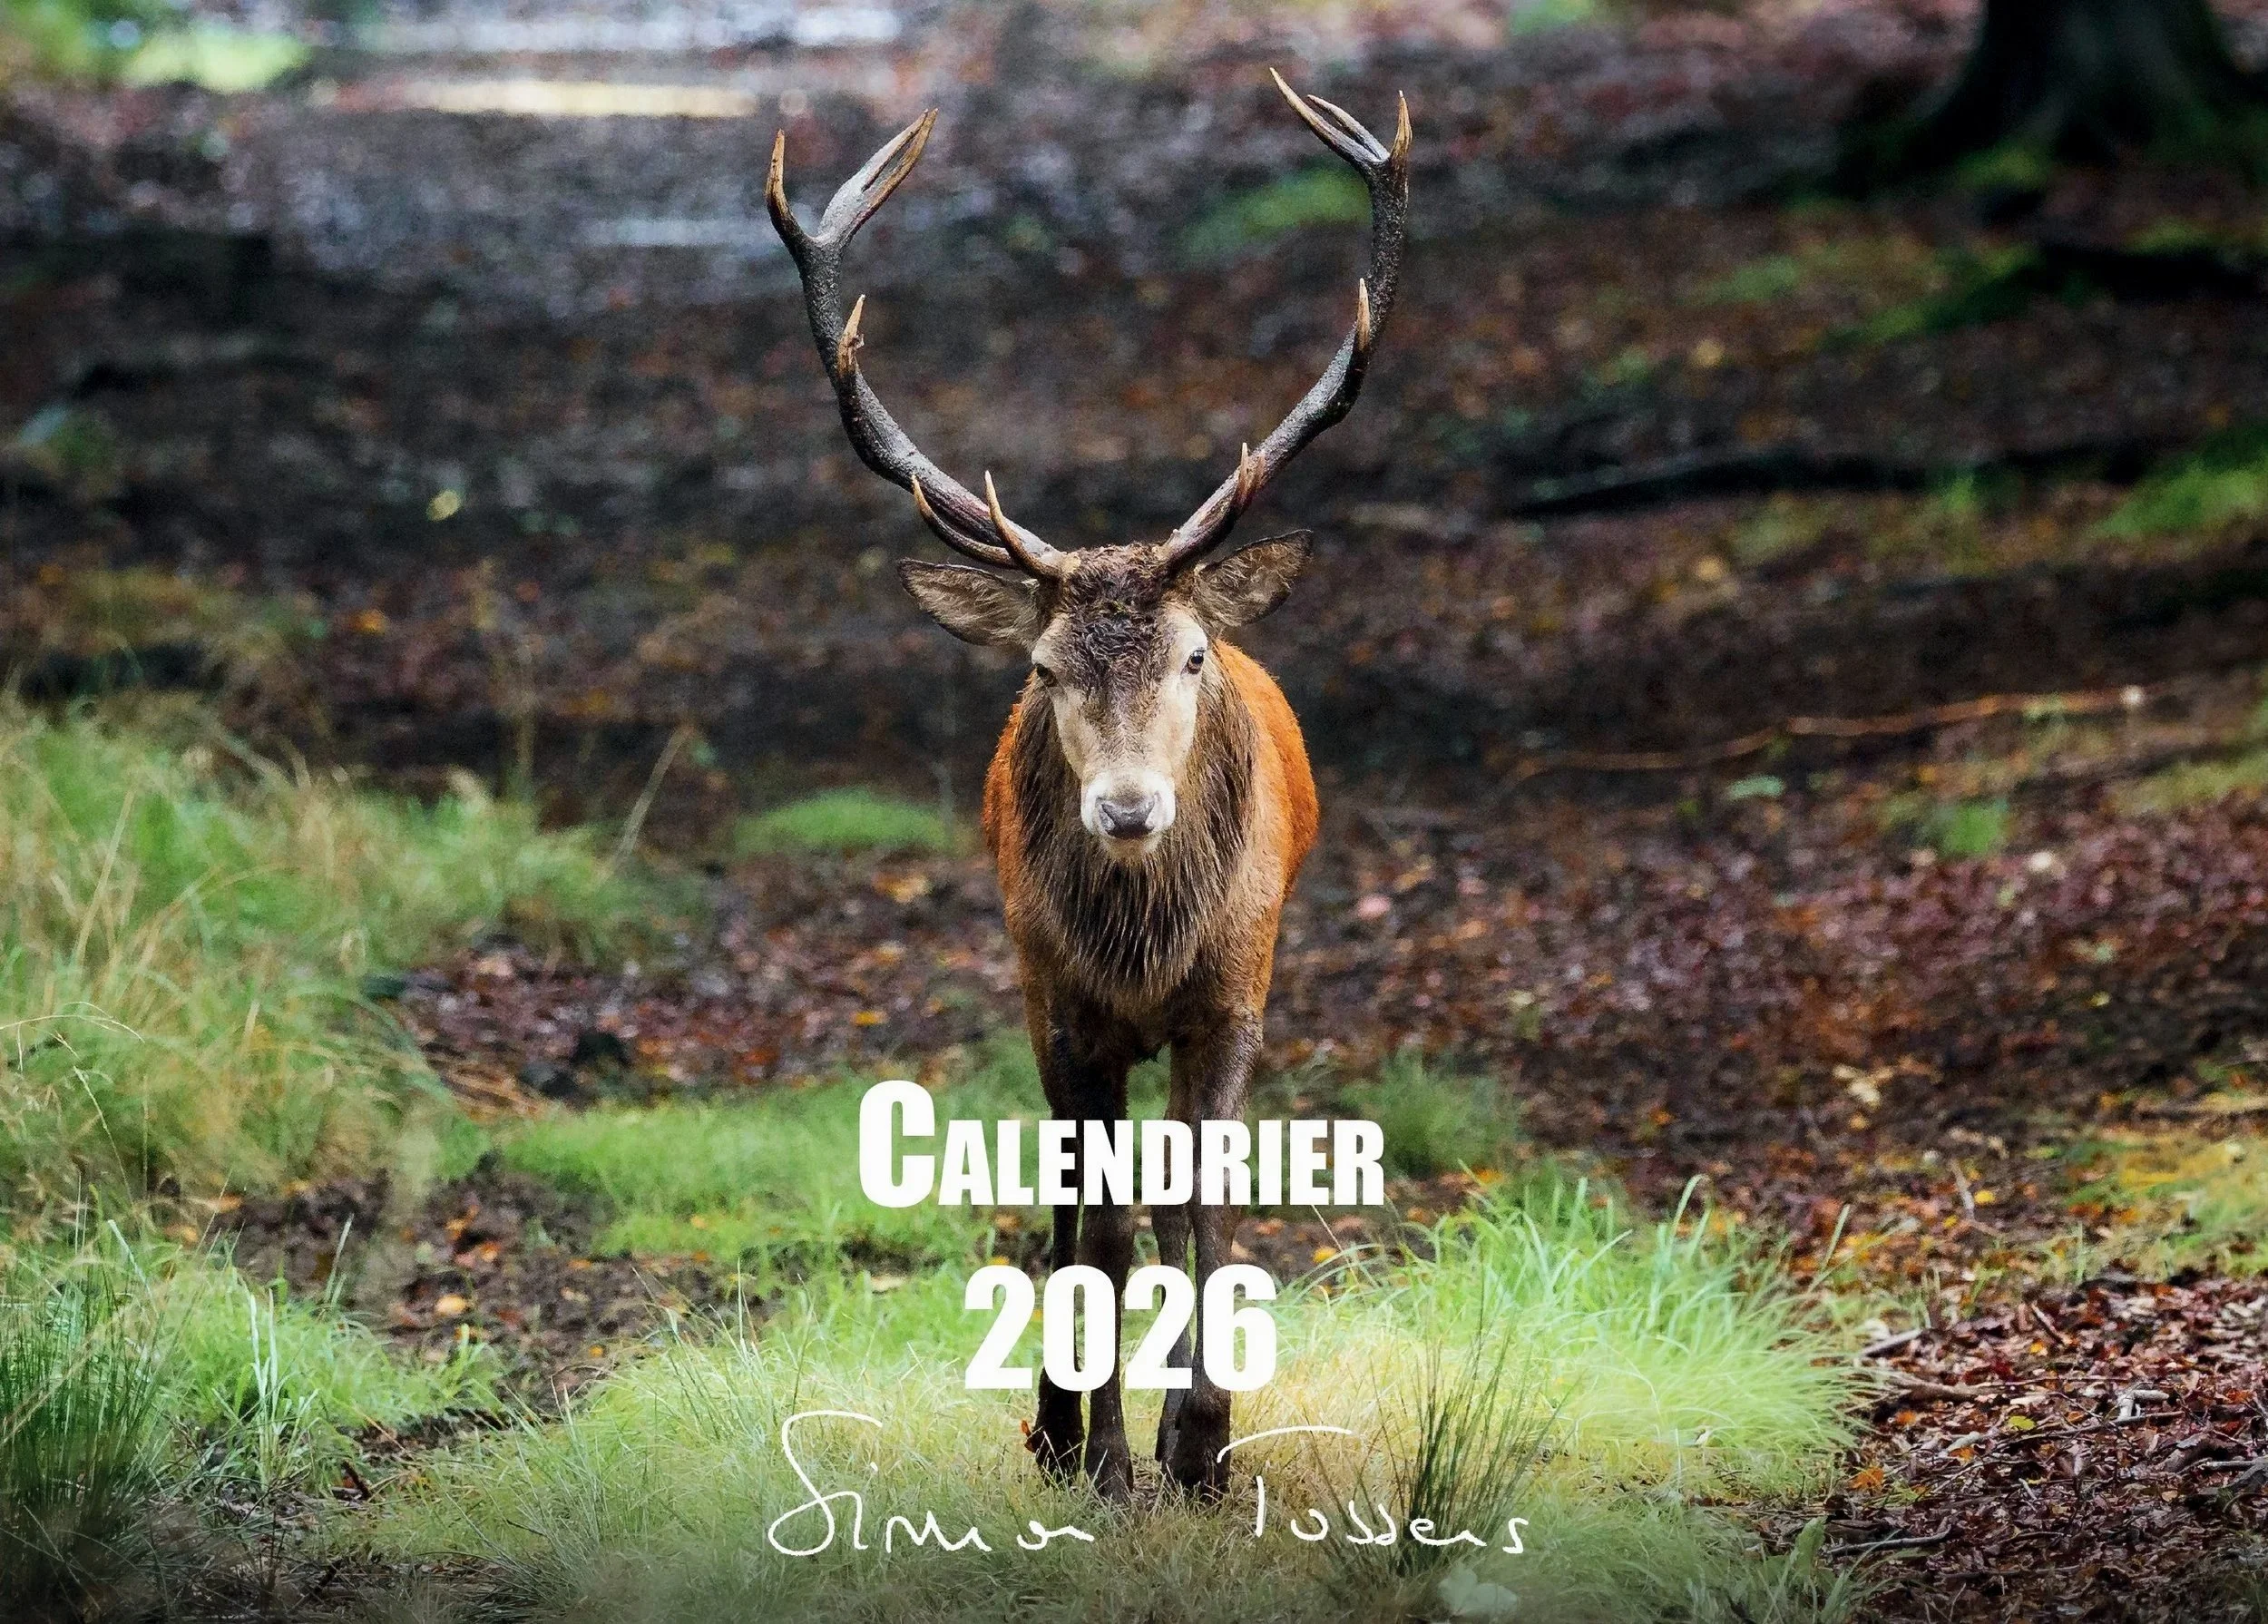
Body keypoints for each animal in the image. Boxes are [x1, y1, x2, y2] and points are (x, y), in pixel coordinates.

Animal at [766, 72, 1409, 1502]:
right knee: (1070, 1203)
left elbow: (1196, 1203)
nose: (1125, 810)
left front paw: (1204, 1442)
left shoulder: (1236, 989)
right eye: (1046, 666)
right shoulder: (1061, 1002)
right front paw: (1100, 1448)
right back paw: (1058, 1422)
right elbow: (1098, 1222)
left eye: (1189, 654)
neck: (1144, 943)